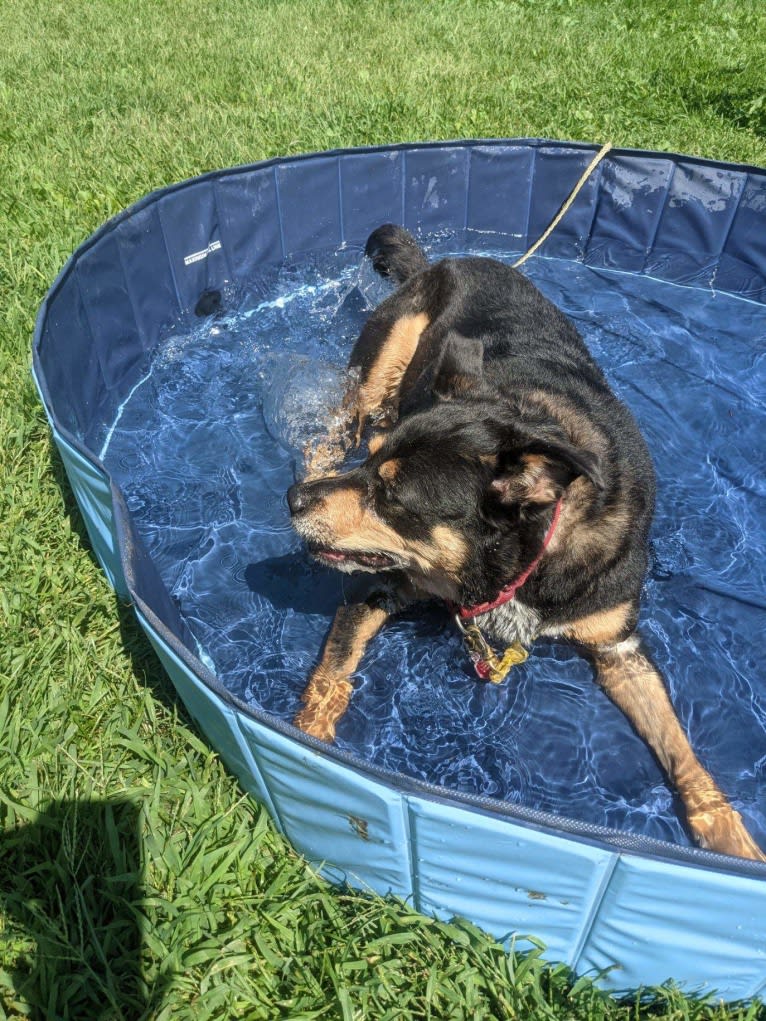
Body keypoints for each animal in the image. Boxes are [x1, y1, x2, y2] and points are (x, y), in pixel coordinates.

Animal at [290, 223, 766, 861]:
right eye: (371, 470)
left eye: (391, 496)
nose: (292, 502)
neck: (521, 559)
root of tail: (446, 260)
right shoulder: (379, 585)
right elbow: (332, 676)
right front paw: (307, 754)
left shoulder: (617, 645)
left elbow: (679, 745)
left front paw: (728, 840)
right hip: (377, 365)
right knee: (335, 429)